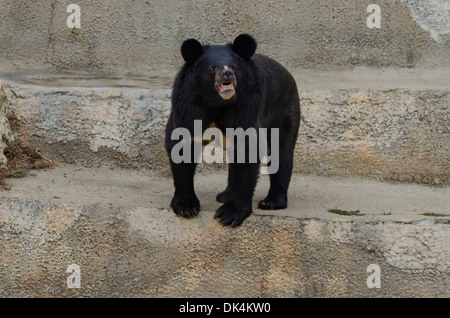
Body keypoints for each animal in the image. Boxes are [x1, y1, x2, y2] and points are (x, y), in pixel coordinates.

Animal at [164, 34, 298, 226]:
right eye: (212, 68)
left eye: (234, 67)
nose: (227, 74)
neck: (217, 103)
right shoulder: (186, 105)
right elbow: (181, 145)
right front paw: (186, 207)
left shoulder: (247, 106)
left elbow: (248, 150)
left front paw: (229, 214)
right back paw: (225, 195)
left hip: (284, 109)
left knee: (281, 152)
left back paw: (271, 202)